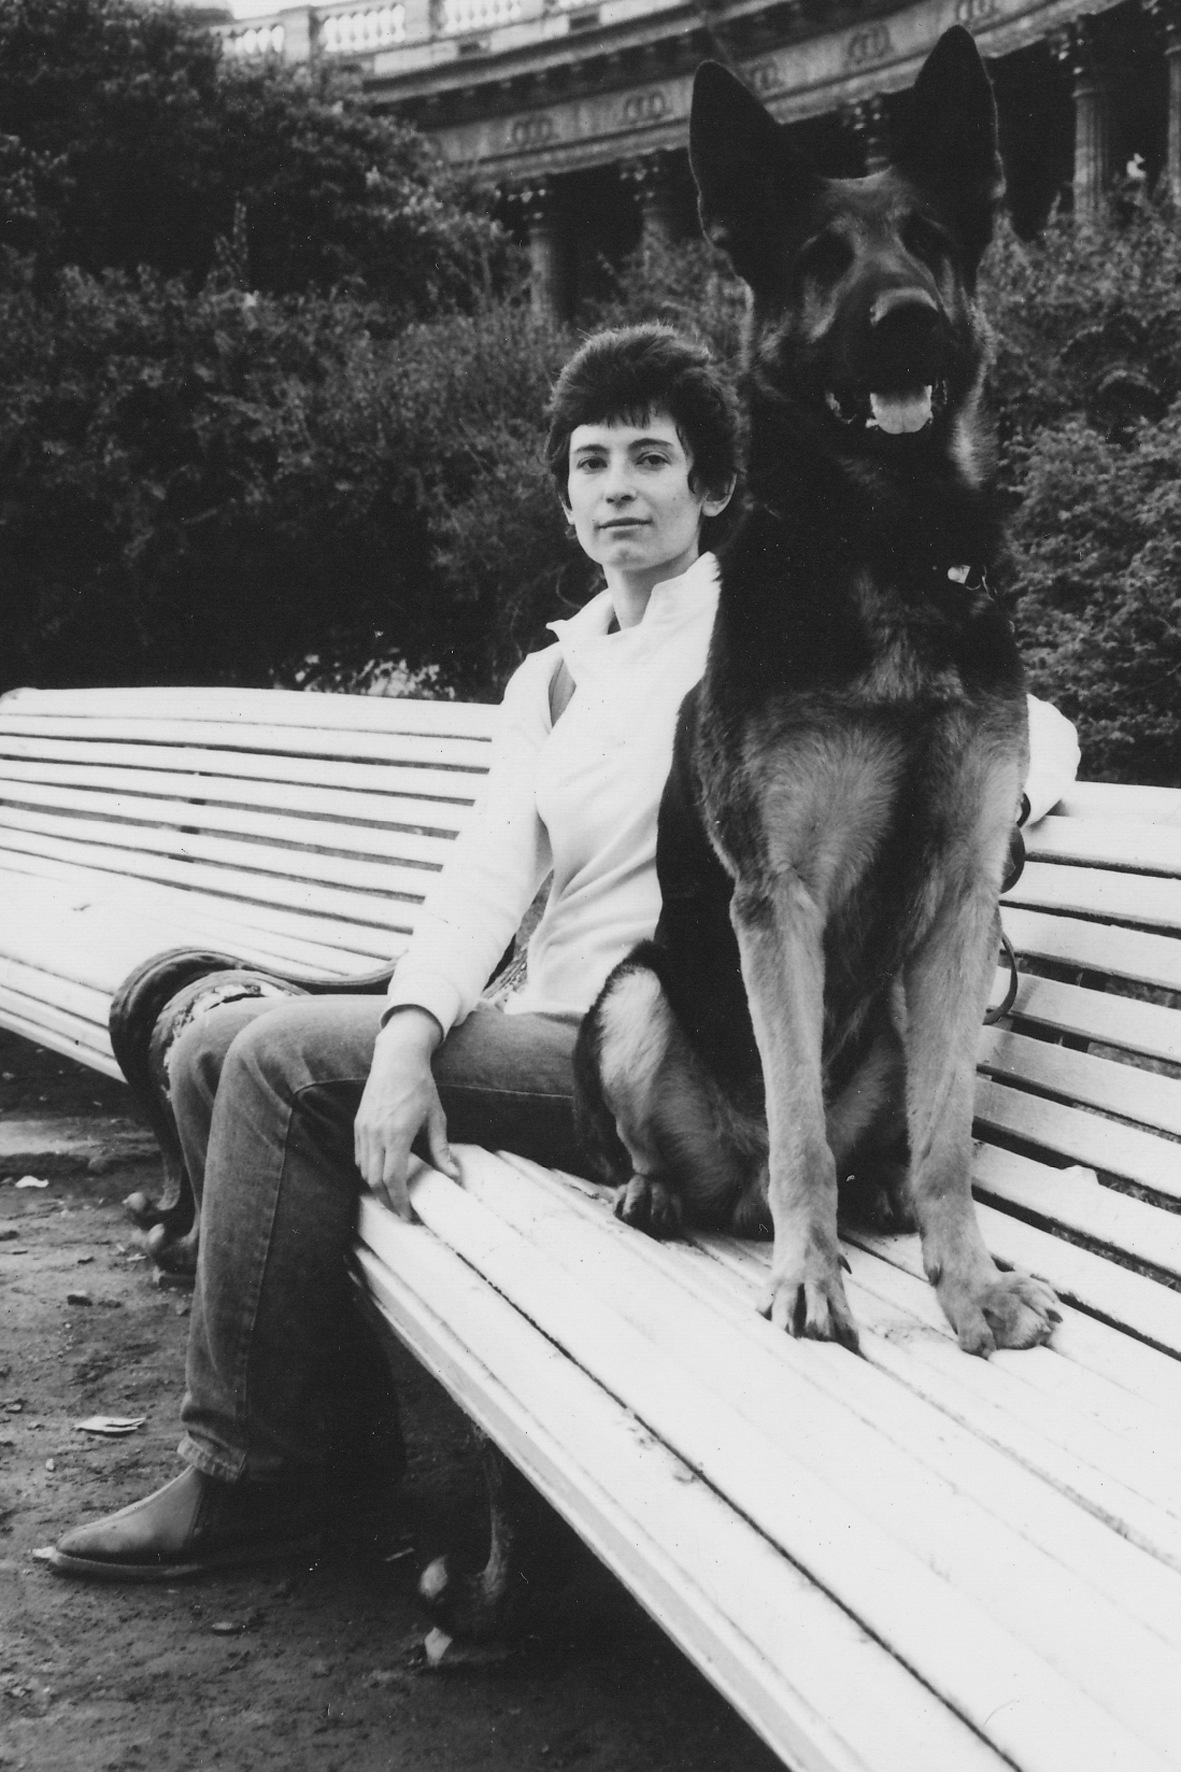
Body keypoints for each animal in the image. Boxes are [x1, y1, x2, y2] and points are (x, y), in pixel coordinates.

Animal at [574, 27, 1060, 1357]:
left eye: (929, 241)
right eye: (818, 259)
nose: (903, 322)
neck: (888, 543)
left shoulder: (960, 900)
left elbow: (949, 1138)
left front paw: (969, 1283)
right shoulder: (775, 898)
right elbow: (795, 1124)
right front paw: (809, 1279)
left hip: (891, 1012)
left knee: (886, 1143)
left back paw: (882, 1195)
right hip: (632, 995)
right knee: (722, 1149)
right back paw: (662, 1190)